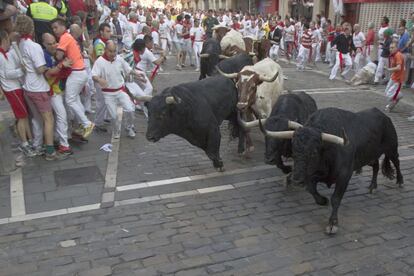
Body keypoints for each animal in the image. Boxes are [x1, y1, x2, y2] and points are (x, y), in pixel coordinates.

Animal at [270, 108, 402, 235]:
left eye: (313, 152)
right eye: (293, 150)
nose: (296, 180)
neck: (329, 151)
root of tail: (384, 116)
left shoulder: (344, 176)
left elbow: (336, 199)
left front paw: (332, 224)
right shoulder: (312, 174)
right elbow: (311, 189)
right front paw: (323, 201)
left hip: (392, 148)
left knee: (397, 162)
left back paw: (400, 181)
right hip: (370, 155)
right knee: (375, 166)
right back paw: (372, 186)